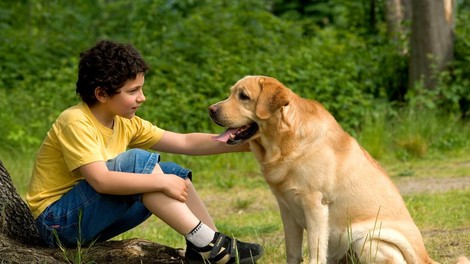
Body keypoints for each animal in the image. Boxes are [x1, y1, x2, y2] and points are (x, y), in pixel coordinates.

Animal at [210, 75, 470, 262]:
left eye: (243, 96)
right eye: (231, 93)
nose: (211, 109)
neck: (283, 144)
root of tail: (426, 258)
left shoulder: (315, 205)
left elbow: (315, 252)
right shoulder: (287, 210)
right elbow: (293, 253)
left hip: (366, 239)